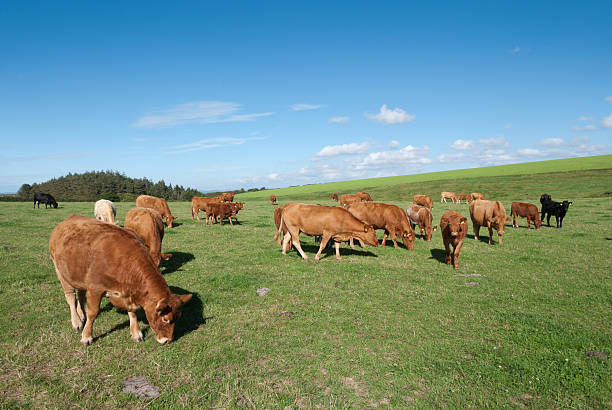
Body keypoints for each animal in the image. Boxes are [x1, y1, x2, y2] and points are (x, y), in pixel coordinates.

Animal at [50, 215, 191, 346]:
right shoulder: (95, 289)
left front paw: (136, 333)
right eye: (165, 319)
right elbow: (92, 313)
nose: (168, 340)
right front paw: (86, 336)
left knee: (80, 294)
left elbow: (132, 311)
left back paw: (81, 313)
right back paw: (77, 321)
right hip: (60, 272)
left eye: (178, 318)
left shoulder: (129, 293)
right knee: (70, 297)